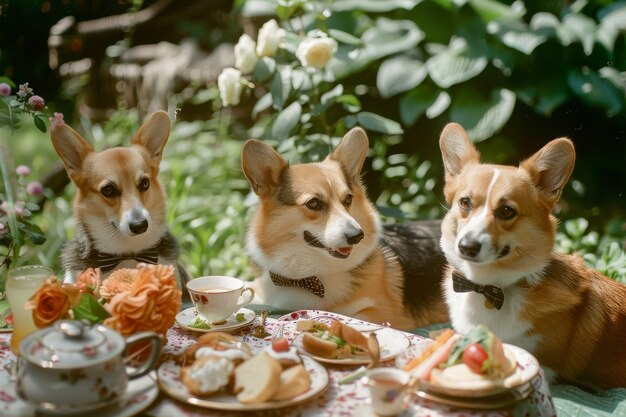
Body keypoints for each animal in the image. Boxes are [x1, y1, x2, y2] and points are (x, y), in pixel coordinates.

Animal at [240, 128, 448, 330]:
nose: (357, 236)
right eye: (313, 203)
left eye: (348, 199)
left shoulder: (381, 313)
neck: (309, 275)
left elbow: (345, 317)